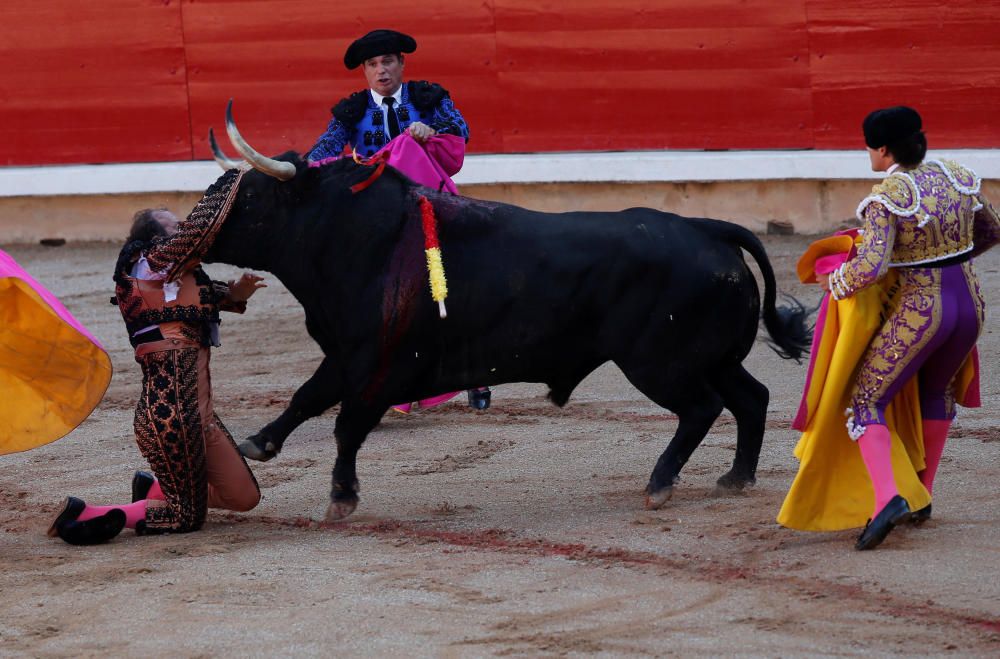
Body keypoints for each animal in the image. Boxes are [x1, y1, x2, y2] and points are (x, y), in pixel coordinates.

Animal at [201, 155, 804, 520]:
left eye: (249, 198)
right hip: (712, 358)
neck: (354, 239)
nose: (185, 229)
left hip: (659, 364)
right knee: (752, 398)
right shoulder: (348, 356)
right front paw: (259, 443)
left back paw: (660, 484)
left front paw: (341, 498)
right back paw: (736, 478)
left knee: (702, 408)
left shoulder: (384, 366)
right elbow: (307, 397)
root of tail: (705, 228)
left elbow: (347, 426)